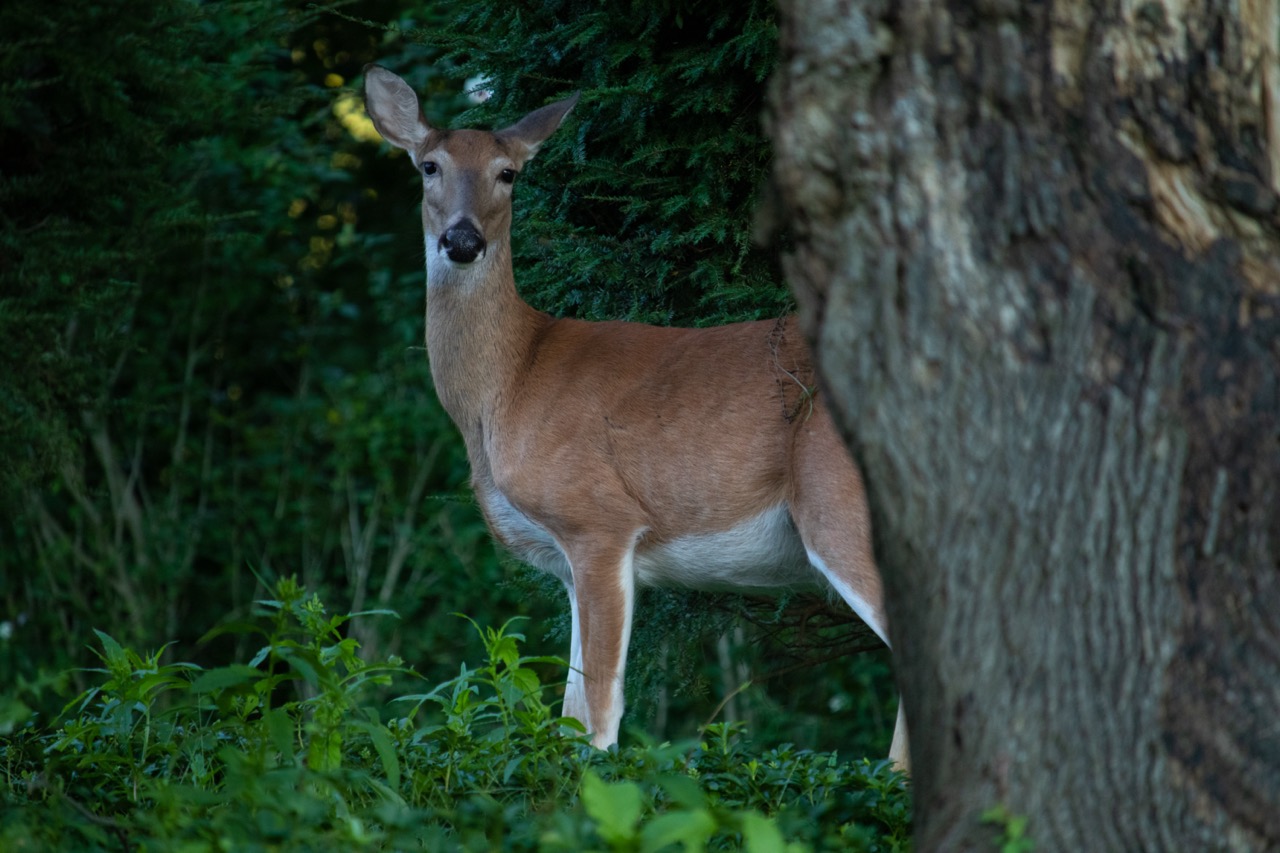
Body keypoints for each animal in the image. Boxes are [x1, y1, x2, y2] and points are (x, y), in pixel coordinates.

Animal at [363, 64, 911, 768]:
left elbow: (597, 720)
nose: (462, 240)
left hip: (836, 502)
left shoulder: (599, 520)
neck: (508, 385)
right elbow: (568, 715)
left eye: (508, 173)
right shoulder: (568, 562)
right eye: (429, 166)